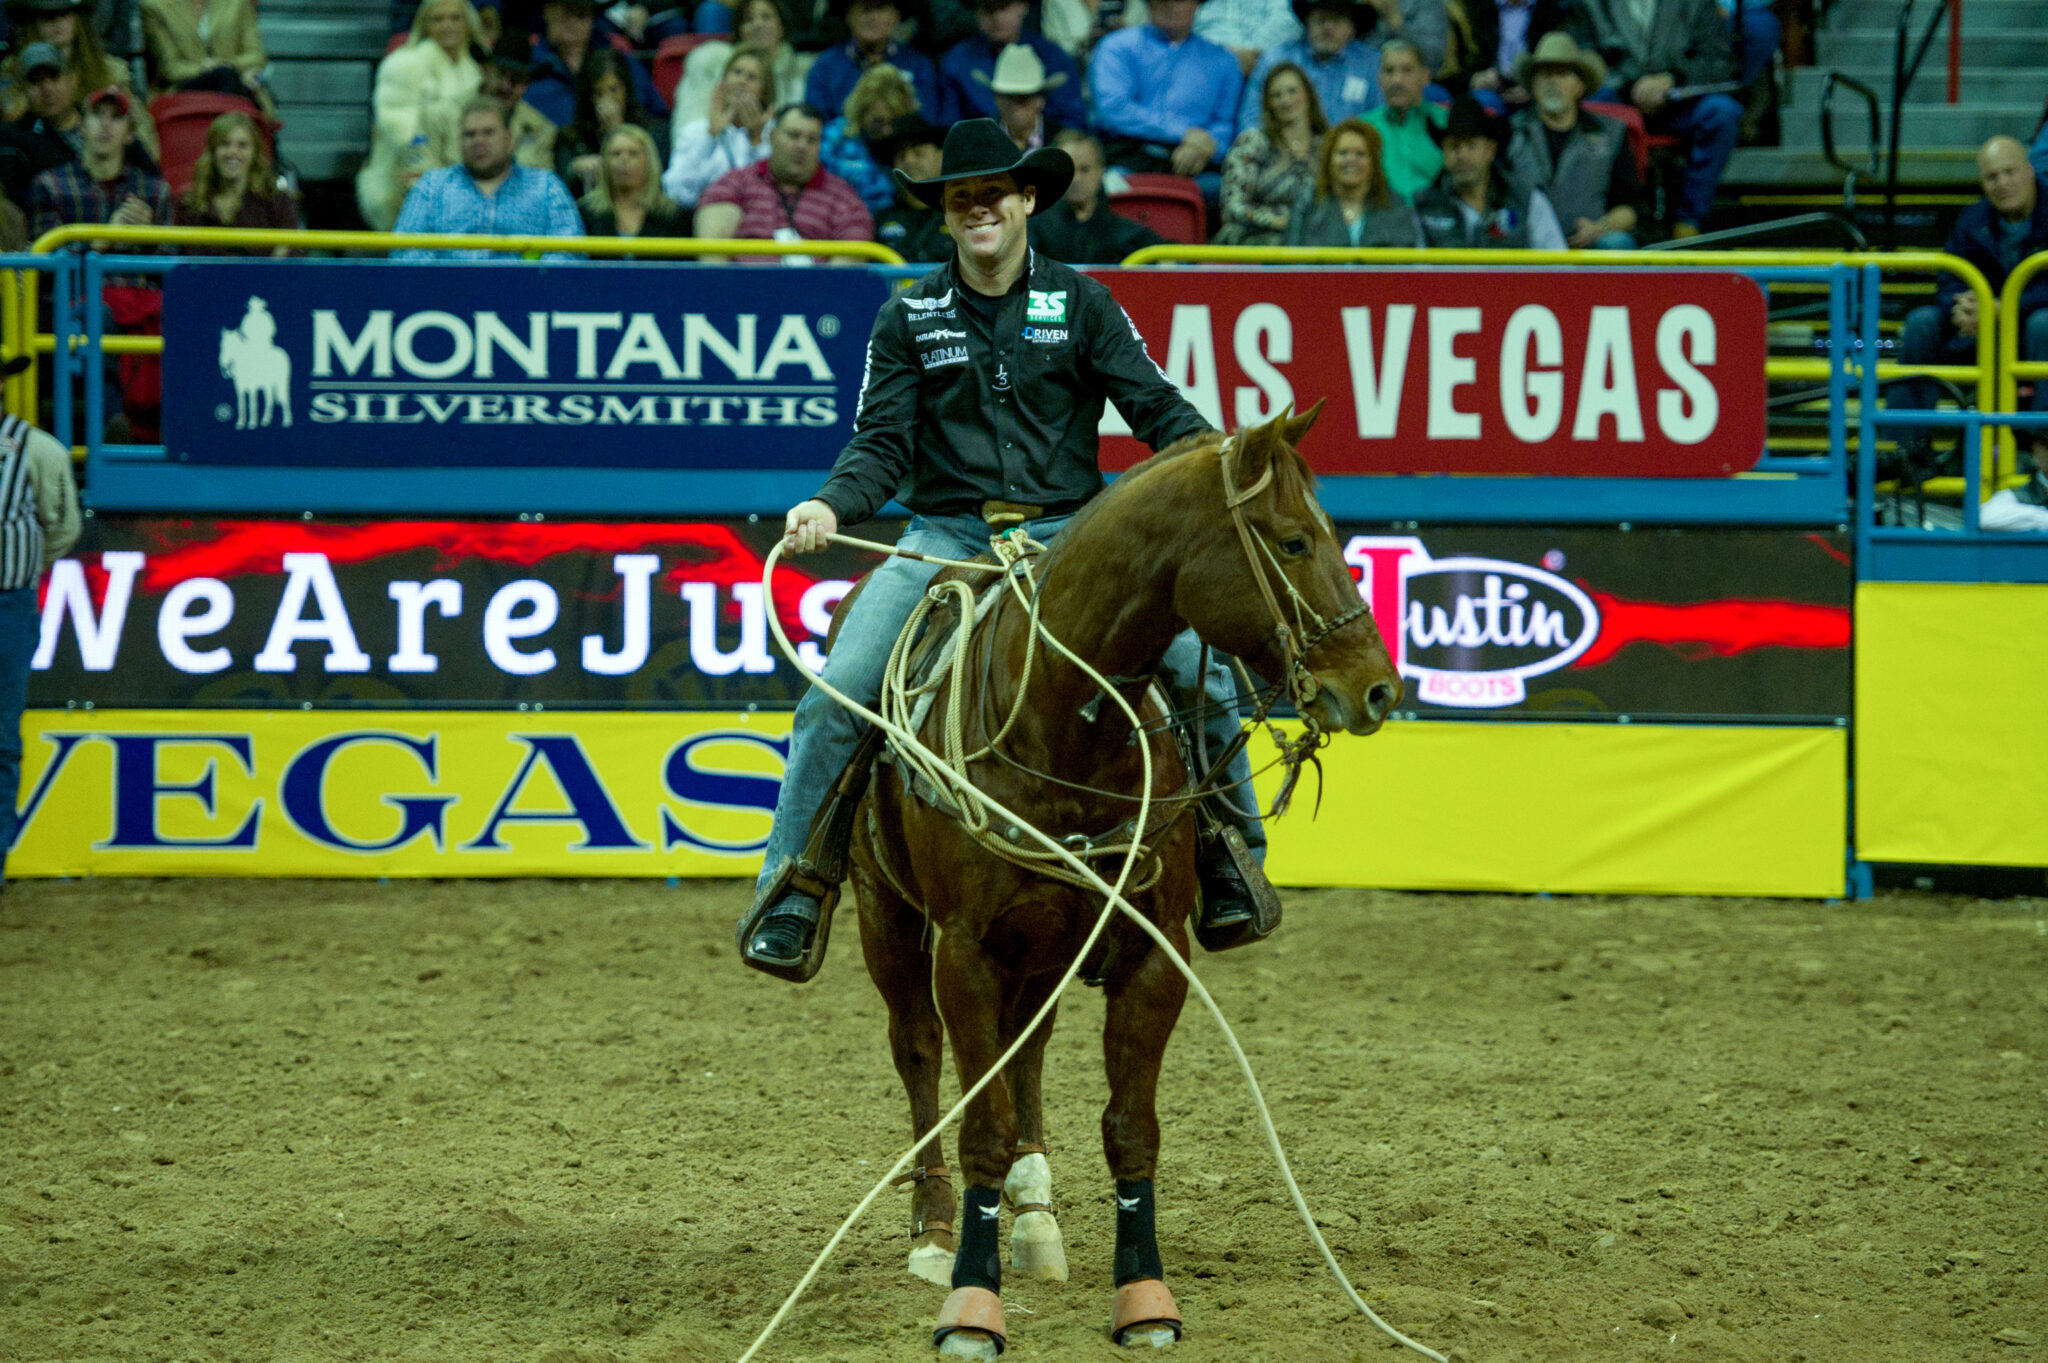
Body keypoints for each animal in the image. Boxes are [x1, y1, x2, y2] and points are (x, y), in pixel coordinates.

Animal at [839, 401, 1400, 1350]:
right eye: (1291, 541)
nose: (1377, 688)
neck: (1057, 721)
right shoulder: (964, 950)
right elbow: (980, 1119)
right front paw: (971, 1306)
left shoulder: (1150, 950)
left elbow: (1131, 1127)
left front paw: (1144, 1298)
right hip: (888, 917)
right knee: (917, 1053)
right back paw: (936, 1230)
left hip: (1044, 946)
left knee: (1026, 1052)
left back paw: (1033, 1216)